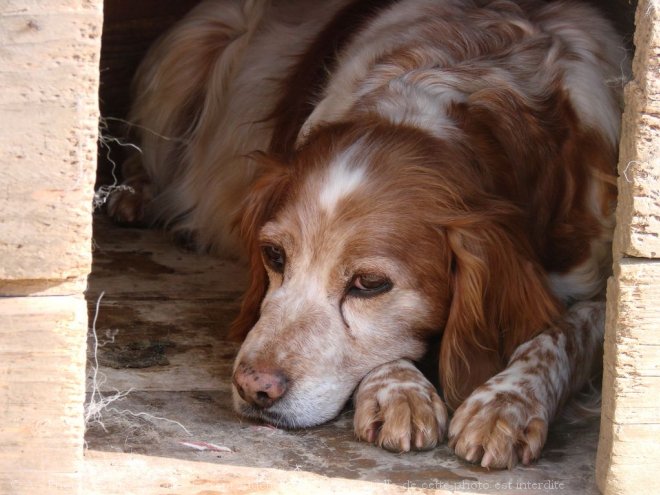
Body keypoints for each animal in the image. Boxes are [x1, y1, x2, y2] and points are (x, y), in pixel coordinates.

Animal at [109, 0, 628, 468]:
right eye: (274, 255)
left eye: (370, 284)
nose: (254, 387)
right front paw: (398, 391)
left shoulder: (601, 281)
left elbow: (561, 335)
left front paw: (506, 402)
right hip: (198, 44)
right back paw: (135, 196)